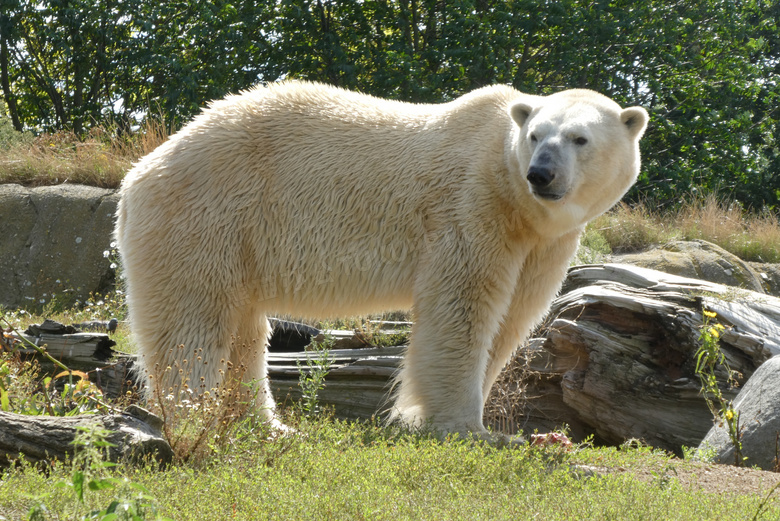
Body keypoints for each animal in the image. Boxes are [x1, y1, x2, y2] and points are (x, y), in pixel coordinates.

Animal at [116, 81, 648, 436]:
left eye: (579, 138)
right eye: (537, 135)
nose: (541, 174)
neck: (512, 191)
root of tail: (139, 173)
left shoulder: (540, 242)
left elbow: (513, 317)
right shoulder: (473, 209)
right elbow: (463, 309)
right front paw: (466, 427)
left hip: (235, 239)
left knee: (244, 332)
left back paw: (266, 424)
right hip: (207, 217)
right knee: (193, 323)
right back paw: (194, 415)